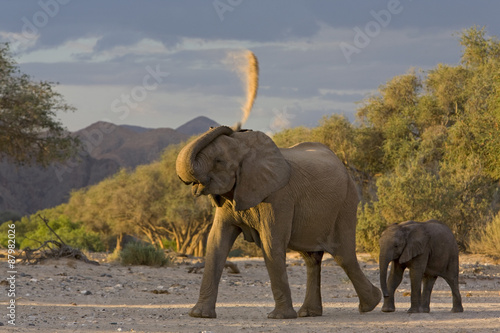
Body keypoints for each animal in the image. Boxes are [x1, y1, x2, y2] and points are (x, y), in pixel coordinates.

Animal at [175, 125, 378, 320]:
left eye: (219, 161)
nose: (229, 127)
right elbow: (216, 243)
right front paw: (200, 315)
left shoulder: (279, 197)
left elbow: (271, 244)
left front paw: (279, 317)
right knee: (312, 258)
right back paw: (309, 313)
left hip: (346, 204)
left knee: (344, 256)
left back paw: (371, 304)